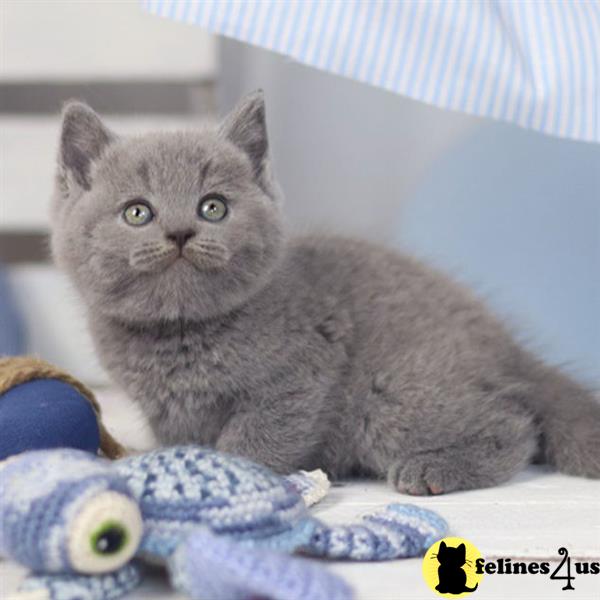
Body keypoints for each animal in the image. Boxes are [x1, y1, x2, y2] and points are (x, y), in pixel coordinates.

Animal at [51, 90, 600, 492]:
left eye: (213, 207)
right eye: (137, 212)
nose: (182, 232)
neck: (181, 331)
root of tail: (508, 349)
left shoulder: (303, 371)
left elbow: (258, 435)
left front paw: (232, 474)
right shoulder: (166, 409)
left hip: (392, 398)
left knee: (515, 425)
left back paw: (432, 469)